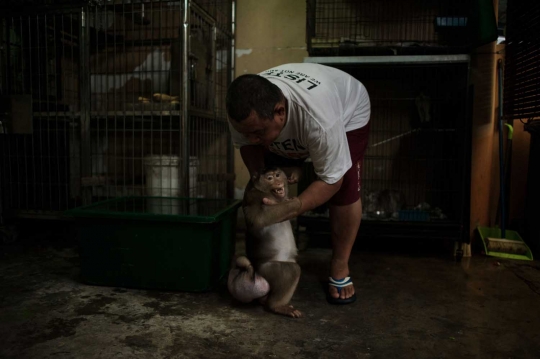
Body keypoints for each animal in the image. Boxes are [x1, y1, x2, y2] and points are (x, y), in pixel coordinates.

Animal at [228, 167, 304, 320]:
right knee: (292, 270)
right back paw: (276, 306)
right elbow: (260, 217)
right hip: (267, 269)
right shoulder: (254, 197)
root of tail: (255, 272)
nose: (278, 182)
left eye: (277, 175)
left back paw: (267, 301)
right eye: (270, 178)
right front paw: (296, 203)